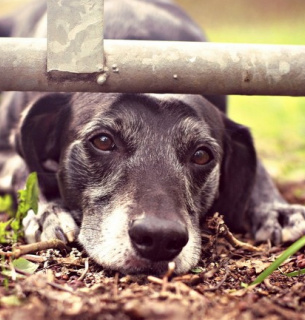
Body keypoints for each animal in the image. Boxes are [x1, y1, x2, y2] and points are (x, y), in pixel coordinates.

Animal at [0, 0, 304, 276]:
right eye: (103, 141)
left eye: (201, 154)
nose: (159, 238)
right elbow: (24, 171)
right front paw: (46, 211)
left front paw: (275, 208)